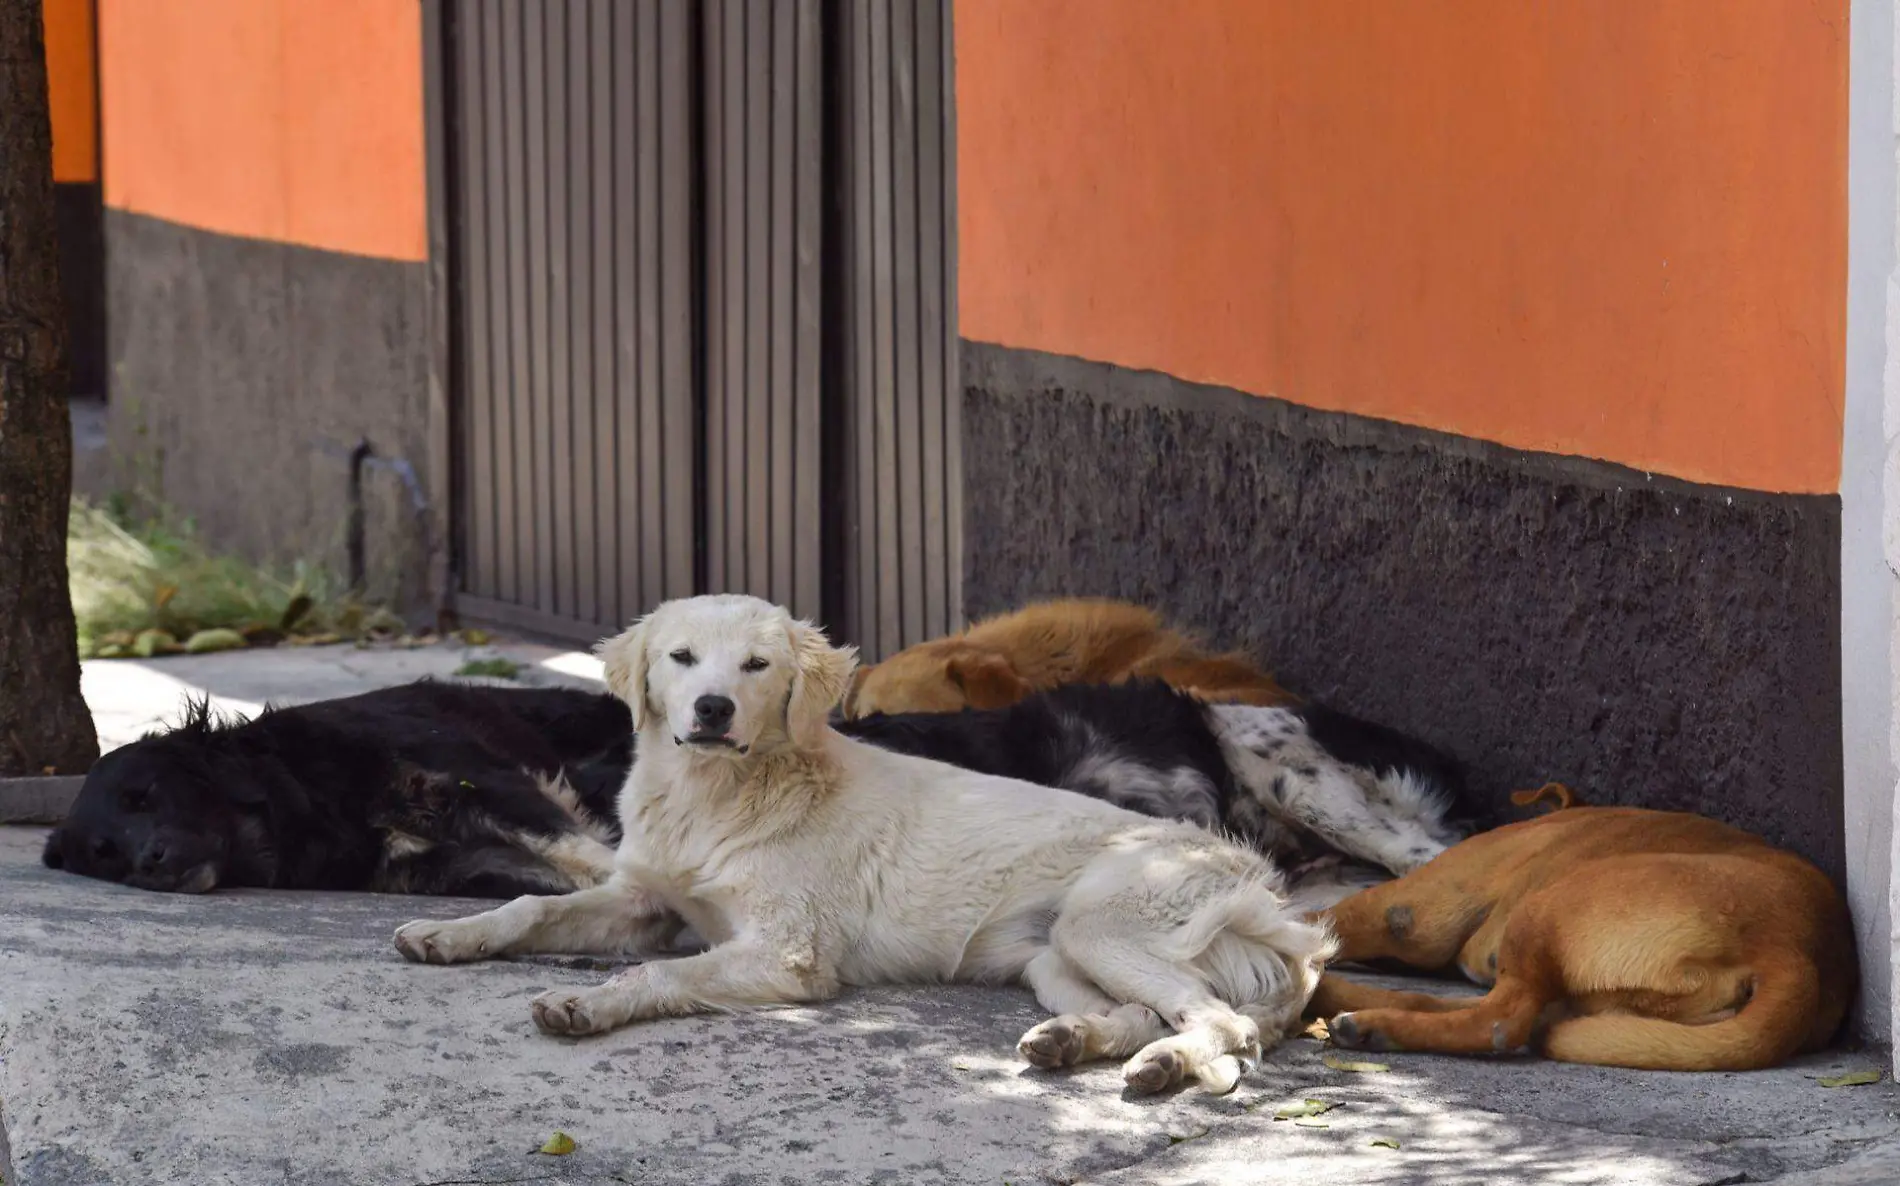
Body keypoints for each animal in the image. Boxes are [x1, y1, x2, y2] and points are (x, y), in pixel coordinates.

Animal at [42, 680, 630, 893]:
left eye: (144, 795)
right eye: (104, 851)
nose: (151, 861)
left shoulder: (479, 780)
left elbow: (583, 852)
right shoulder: (451, 867)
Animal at [1314, 805, 1846, 1071]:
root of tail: (1792, 950)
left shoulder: (1405, 913)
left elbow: (1325, 918)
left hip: (1545, 909)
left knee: (1498, 1023)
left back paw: (1366, 1022)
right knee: (1443, 1003)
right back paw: (1345, 1006)